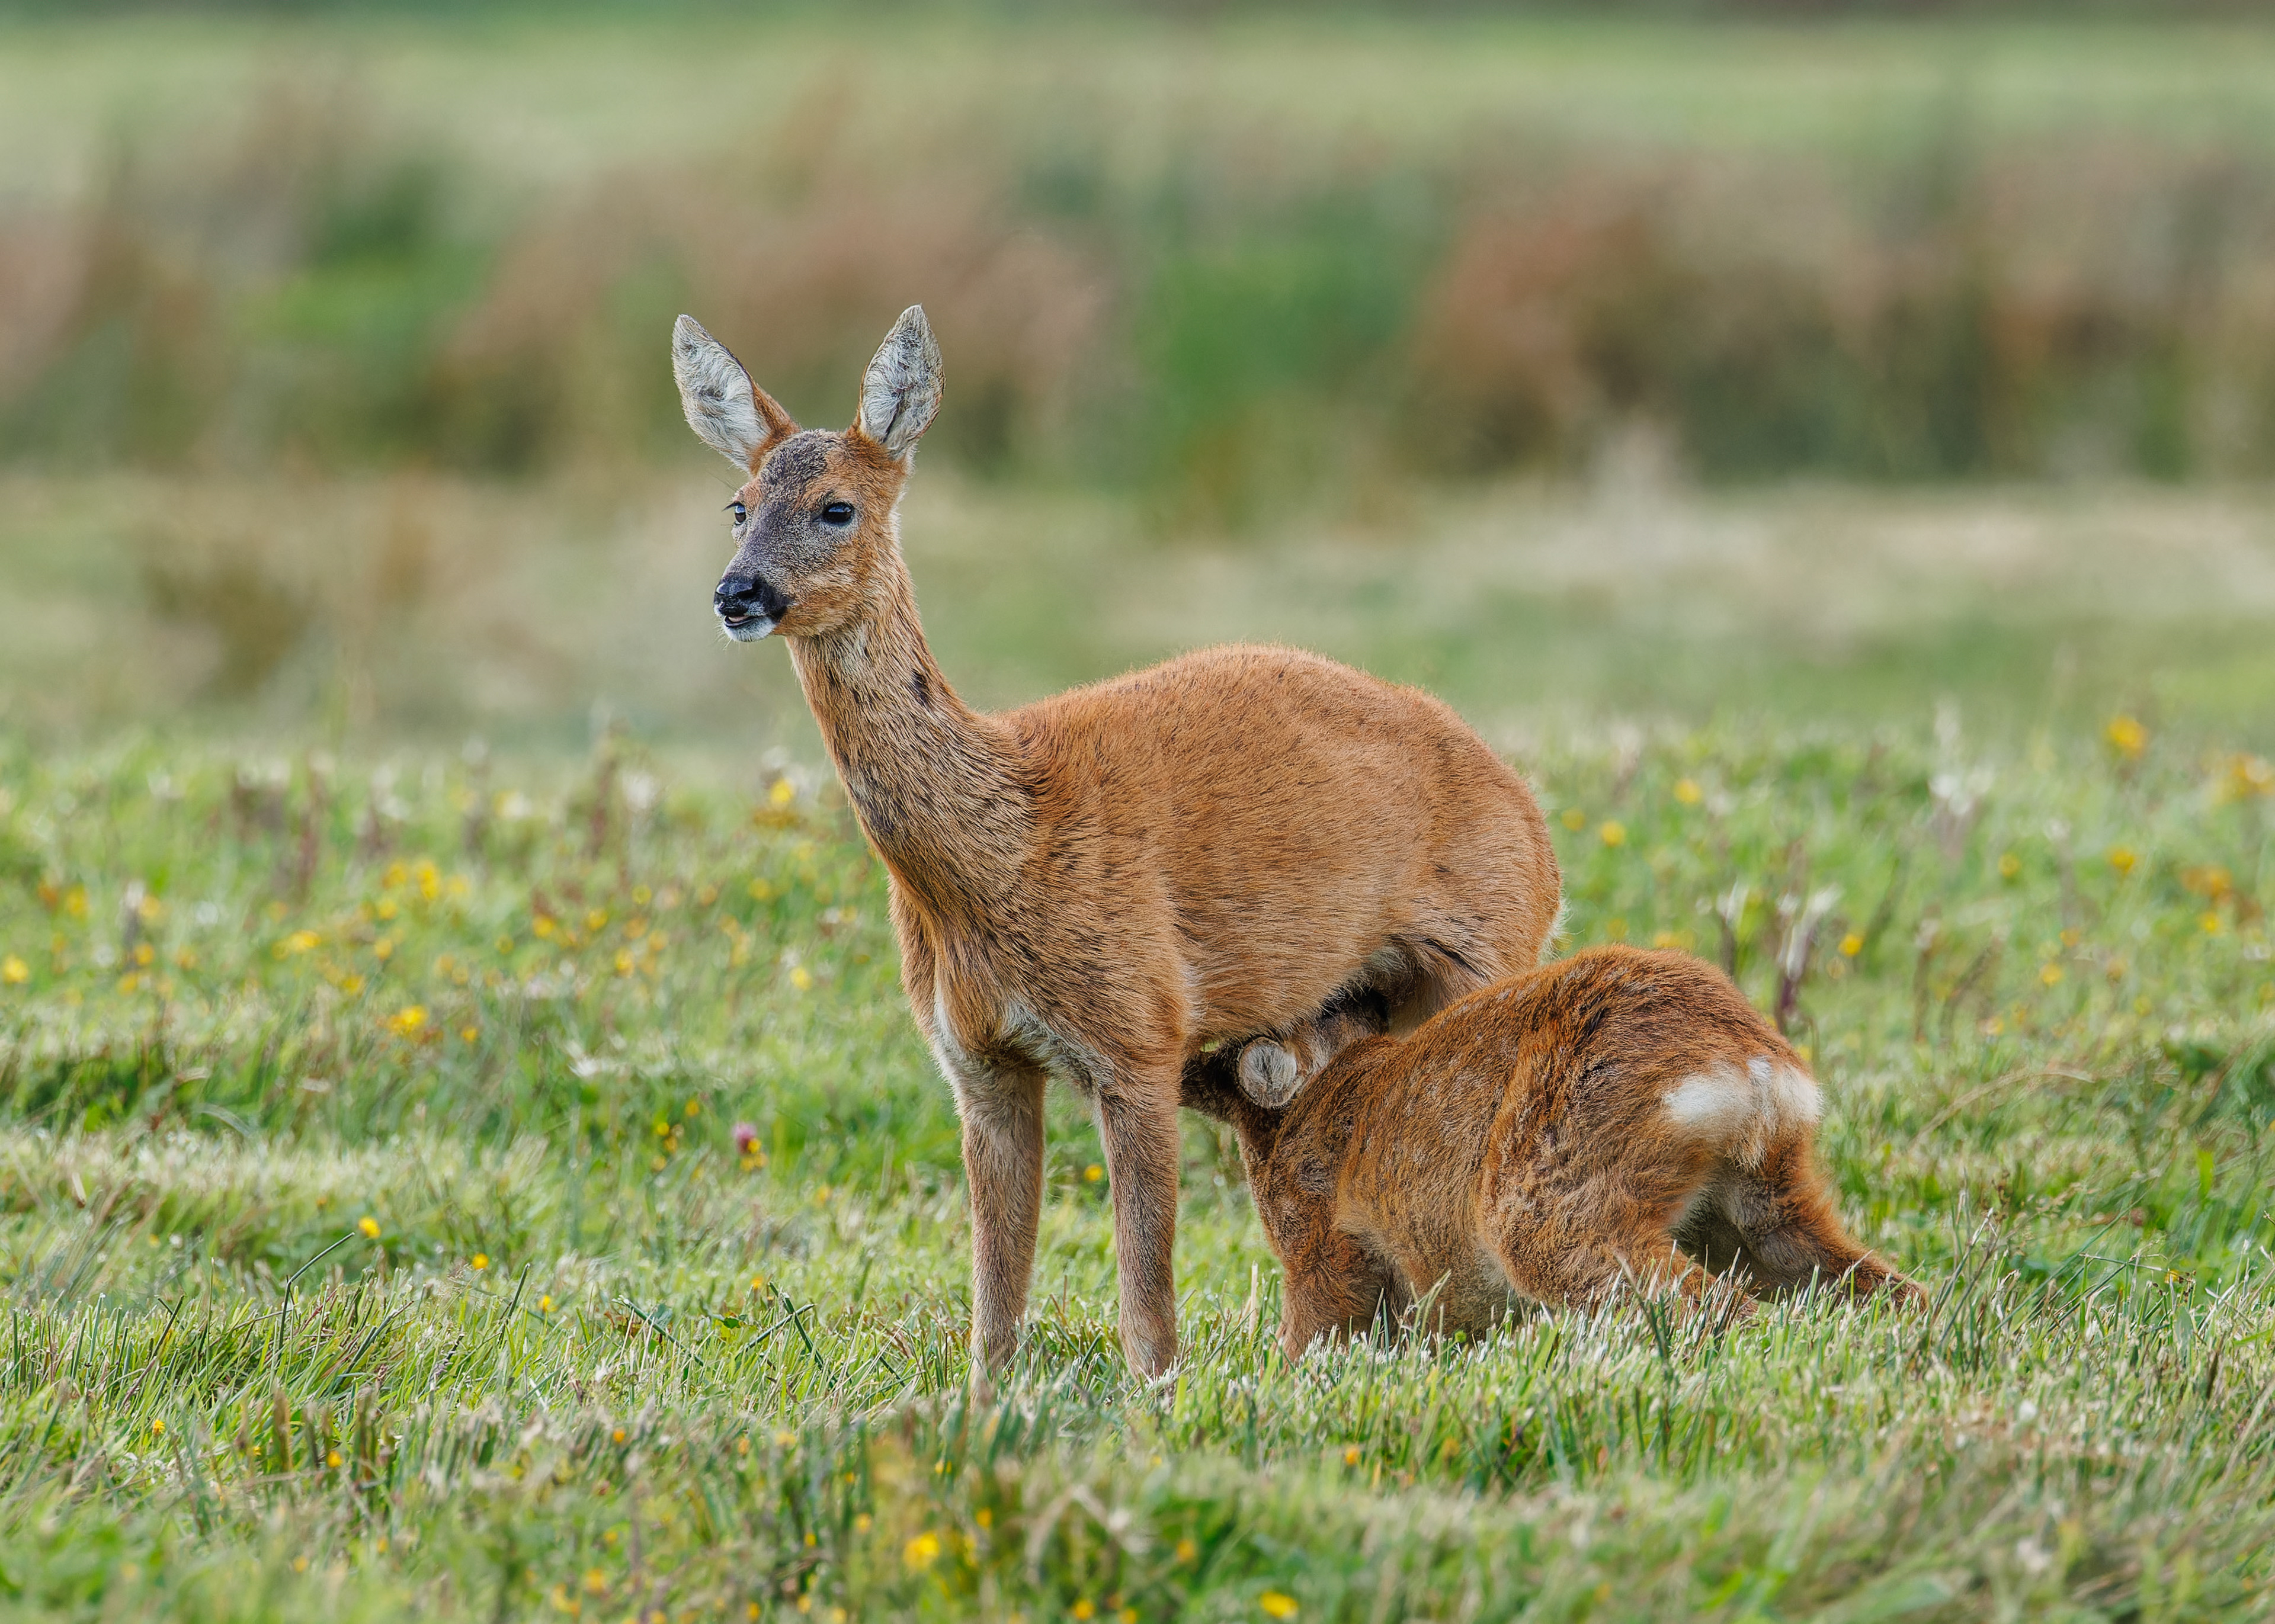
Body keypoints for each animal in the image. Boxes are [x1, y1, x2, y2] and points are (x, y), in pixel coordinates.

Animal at [671, 305, 1562, 1382]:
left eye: (837, 507)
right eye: (738, 503)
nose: (738, 592)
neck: (1002, 850)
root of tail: (1536, 826)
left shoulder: (1139, 1026)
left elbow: (1148, 1306)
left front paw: (1157, 1399)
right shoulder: (975, 1061)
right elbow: (995, 1299)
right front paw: (986, 1398)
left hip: (1490, 949)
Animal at [1186, 945, 1918, 1356]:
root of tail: (1748, 1062)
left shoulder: (1323, 1252)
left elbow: (1313, 1336)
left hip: (1542, 1201)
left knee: (1710, 1307)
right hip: (1759, 1206)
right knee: (1875, 1284)